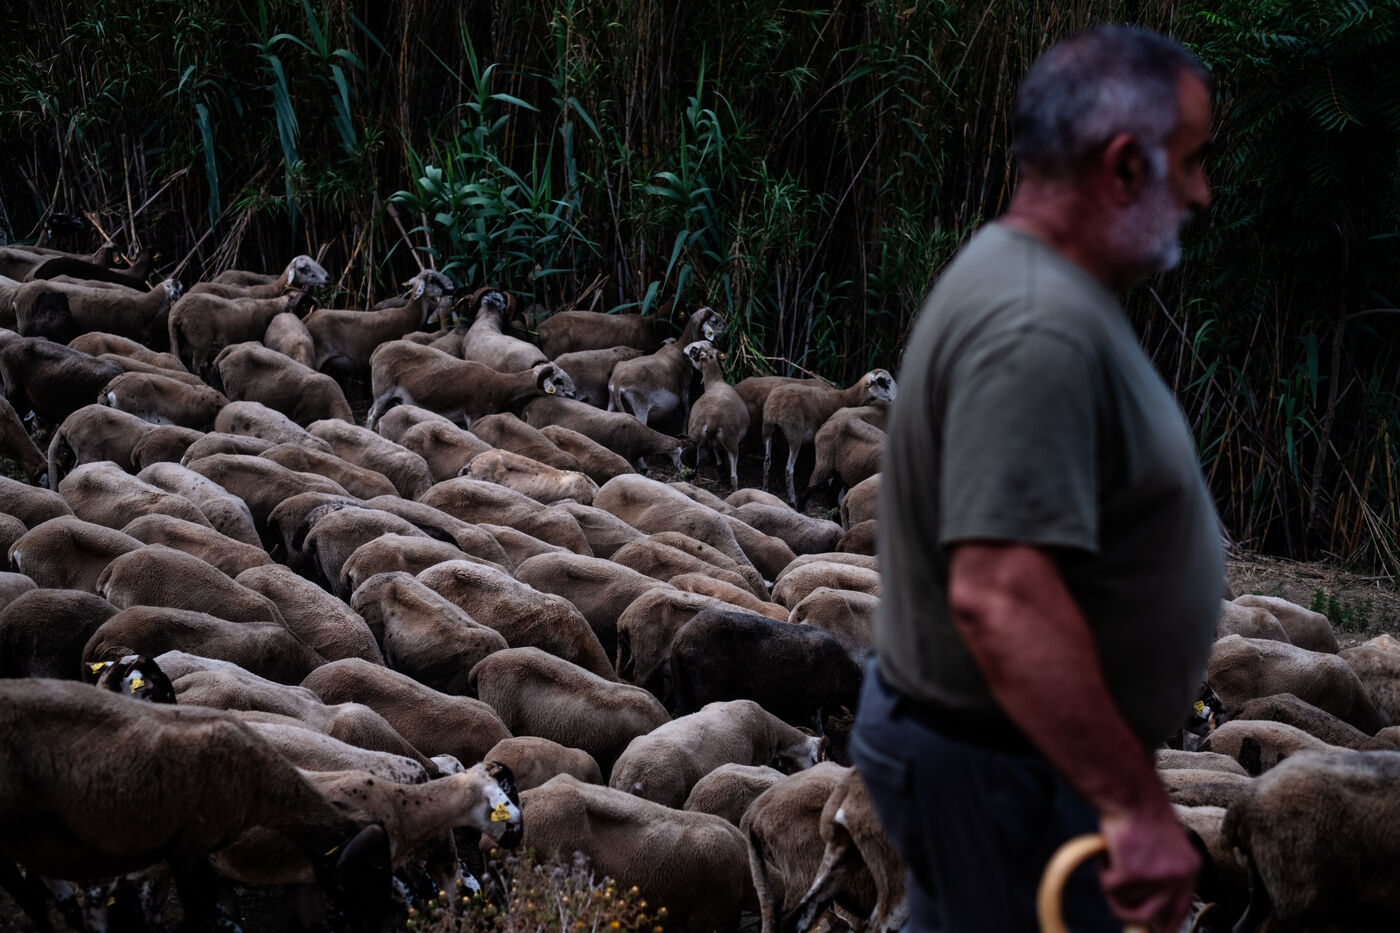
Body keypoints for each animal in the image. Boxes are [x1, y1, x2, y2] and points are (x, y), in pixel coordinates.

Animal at [0, 679, 391, 930]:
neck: (257, 777)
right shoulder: (187, 851)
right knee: (25, 893)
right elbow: (198, 915)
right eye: (369, 871)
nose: (377, 925)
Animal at [167, 288, 312, 376]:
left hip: (177, 341)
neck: (265, 309)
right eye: (302, 307)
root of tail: (177, 313)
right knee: (196, 368)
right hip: (200, 342)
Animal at [366, 339, 576, 430]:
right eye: (557, 380)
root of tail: (381, 348)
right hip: (382, 389)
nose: (573, 394)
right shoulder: (474, 415)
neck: (500, 385)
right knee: (371, 415)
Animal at [762, 369, 896, 505]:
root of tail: (775, 408)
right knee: (789, 468)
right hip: (794, 435)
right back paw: (792, 499)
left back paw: (765, 490)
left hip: (767, 430)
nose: (895, 399)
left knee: (767, 461)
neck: (847, 397)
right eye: (882, 382)